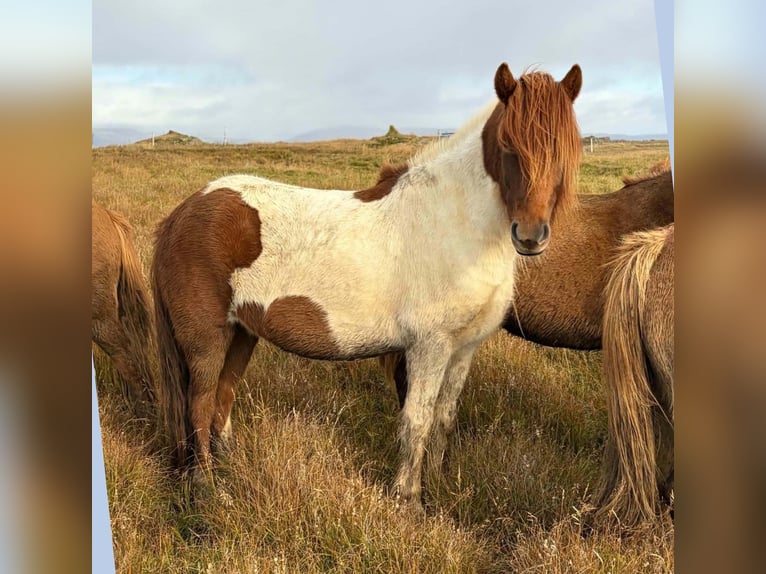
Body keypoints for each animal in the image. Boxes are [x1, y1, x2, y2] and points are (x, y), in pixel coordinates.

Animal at [151, 62, 584, 510]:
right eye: (507, 146)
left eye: (566, 151)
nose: (531, 236)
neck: (454, 223)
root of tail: (180, 215)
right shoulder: (429, 346)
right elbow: (418, 419)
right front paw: (409, 500)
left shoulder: (464, 348)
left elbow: (444, 418)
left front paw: (439, 485)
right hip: (207, 339)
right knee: (200, 402)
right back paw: (205, 487)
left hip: (242, 333)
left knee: (223, 396)